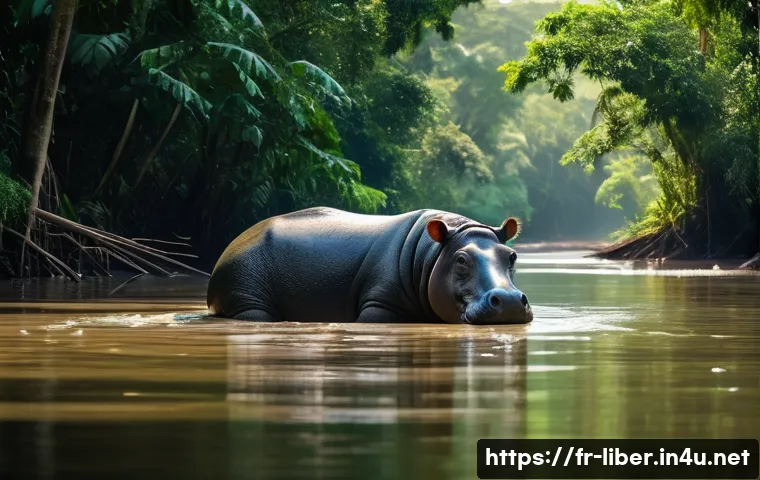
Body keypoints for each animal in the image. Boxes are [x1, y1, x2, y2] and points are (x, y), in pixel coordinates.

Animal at [207, 207, 532, 324]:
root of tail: (228, 247)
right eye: (462, 259)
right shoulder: (379, 306)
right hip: (249, 299)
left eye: (511, 256)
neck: (431, 255)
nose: (509, 301)